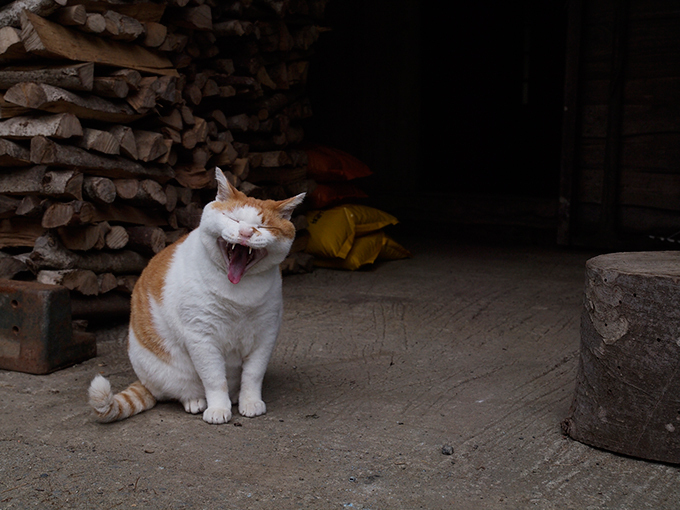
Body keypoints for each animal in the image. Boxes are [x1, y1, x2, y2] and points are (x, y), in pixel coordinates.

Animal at [88, 169, 306, 424]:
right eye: (233, 219)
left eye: (263, 226)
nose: (245, 233)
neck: (238, 293)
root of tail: (145, 382)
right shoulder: (202, 337)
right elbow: (214, 379)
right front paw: (218, 408)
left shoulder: (265, 335)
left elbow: (253, 375)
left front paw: (250, 402)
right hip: (167, 371)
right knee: (182, 390)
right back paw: (196, 401)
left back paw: (235, 397)